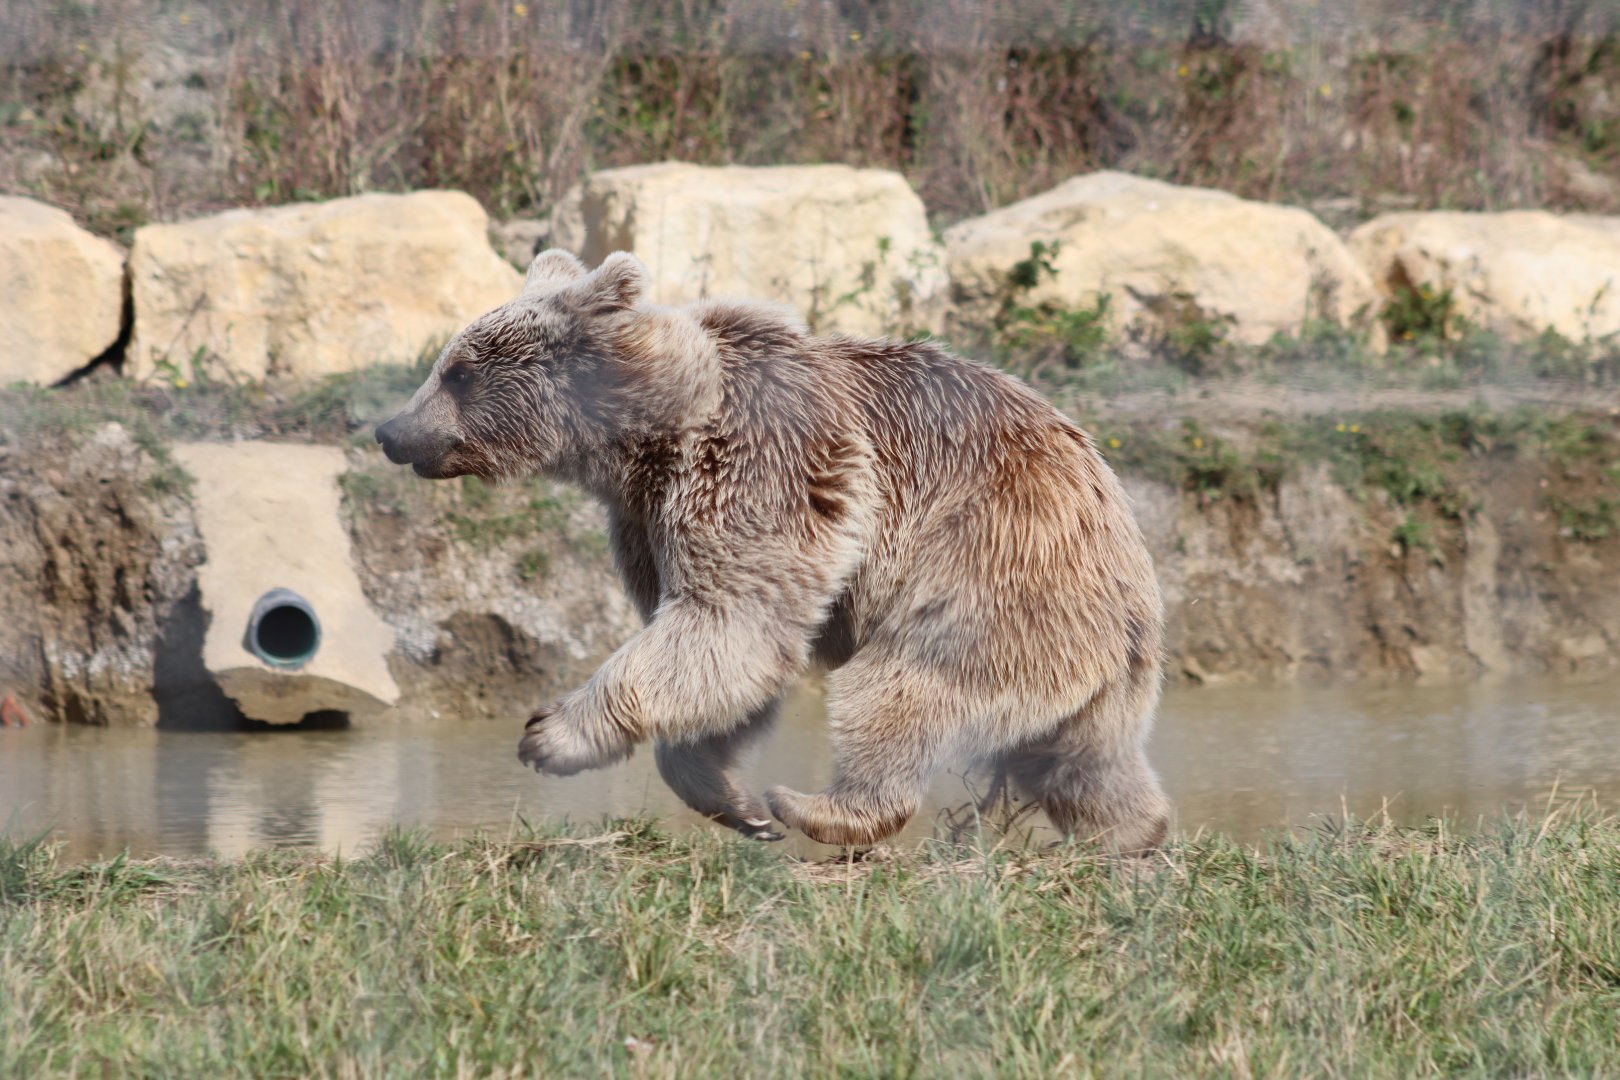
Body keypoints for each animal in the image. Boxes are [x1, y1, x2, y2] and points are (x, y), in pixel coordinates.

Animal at [376, 249, 1169, 851]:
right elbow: (730, 654)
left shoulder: (762, 464)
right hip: (1084, 665)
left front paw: (552, 735)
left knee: (899, 690)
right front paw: (732, 799)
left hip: (992, 575)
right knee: (1087, 762)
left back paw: (819, 807)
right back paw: (1132, 833)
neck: (646, 440)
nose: (390, 429)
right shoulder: (646, 521)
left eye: (458, 371)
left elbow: (731, 623)